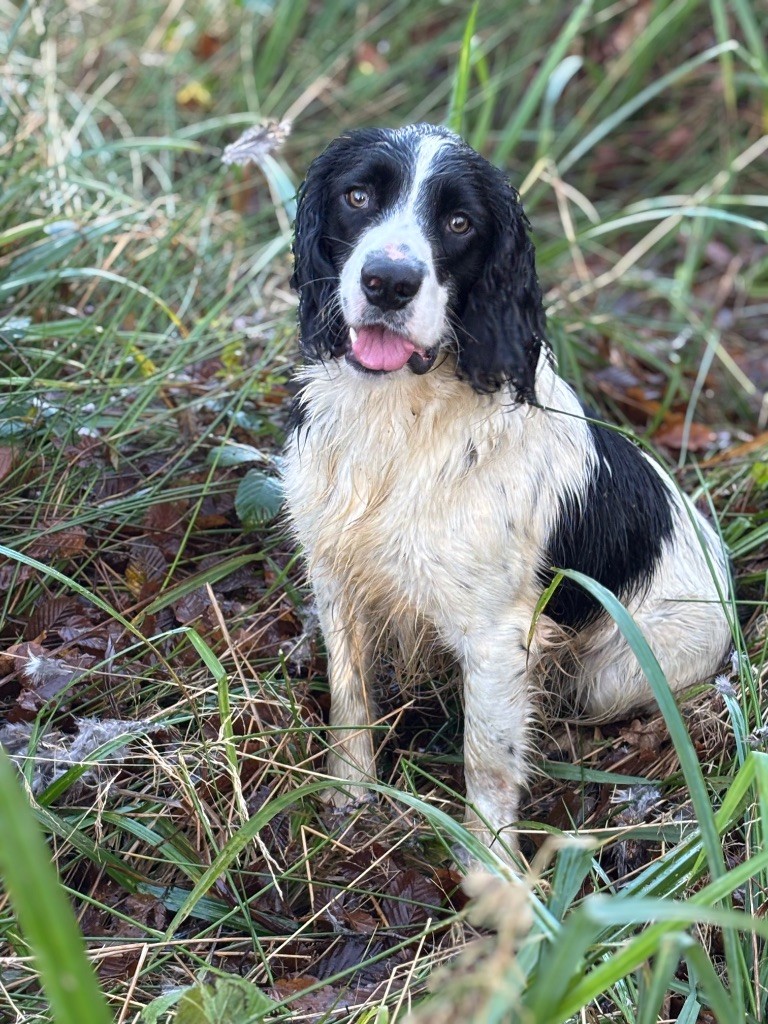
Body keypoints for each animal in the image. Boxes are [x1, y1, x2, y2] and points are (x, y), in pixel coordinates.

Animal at [282, 121, 733, 864]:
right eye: (358, 196)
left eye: (460, 222)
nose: (388, 282)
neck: (401, 416)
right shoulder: (335, 574)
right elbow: (351, 695)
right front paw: (348, 797)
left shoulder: (497, 635)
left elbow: (488, 760)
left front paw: (492, 869)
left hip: (620, 671)